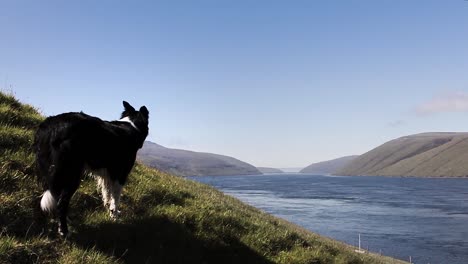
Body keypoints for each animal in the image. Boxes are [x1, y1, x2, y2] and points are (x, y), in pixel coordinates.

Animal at [34, 101, 149, 237]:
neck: (132, 125)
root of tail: (50, 126)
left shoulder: (107, 175)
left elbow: (107, 194)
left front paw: (109, 211)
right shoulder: (120, 174)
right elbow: (115, 197)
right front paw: (115, 216)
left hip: (52, 171)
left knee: (56, 196)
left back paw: (65, 221)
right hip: (72, 173)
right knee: (62, 202)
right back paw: (64, 231)